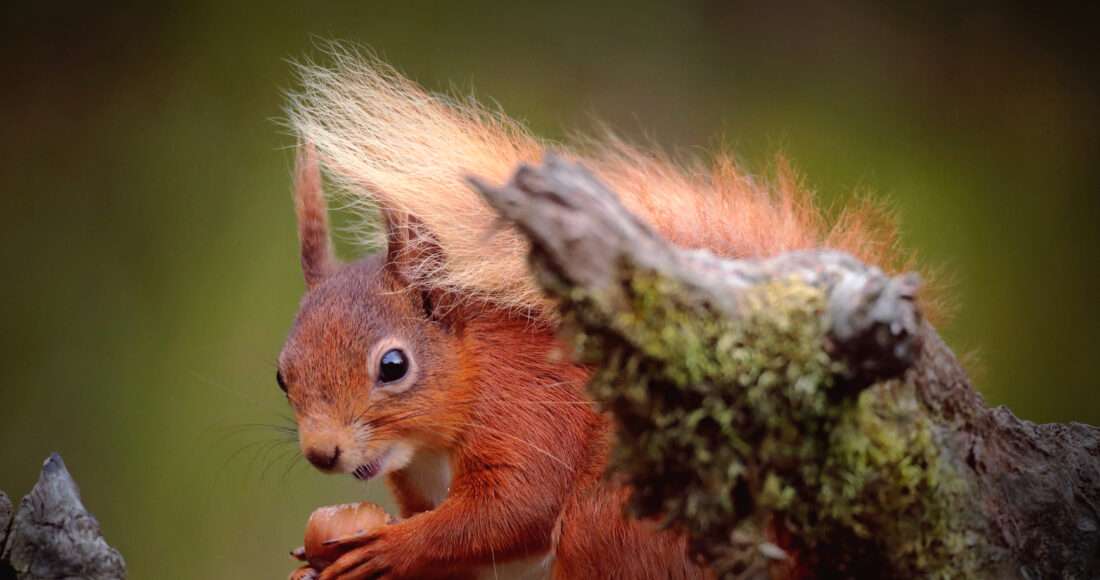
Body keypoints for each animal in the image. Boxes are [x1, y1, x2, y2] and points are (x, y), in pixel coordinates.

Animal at [276, 46, 908, 580]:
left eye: (393, 366)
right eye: (282, 376)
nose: (322, 453)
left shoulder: (531, 408)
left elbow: (512, 510)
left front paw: (392, 548)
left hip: (615, 522)